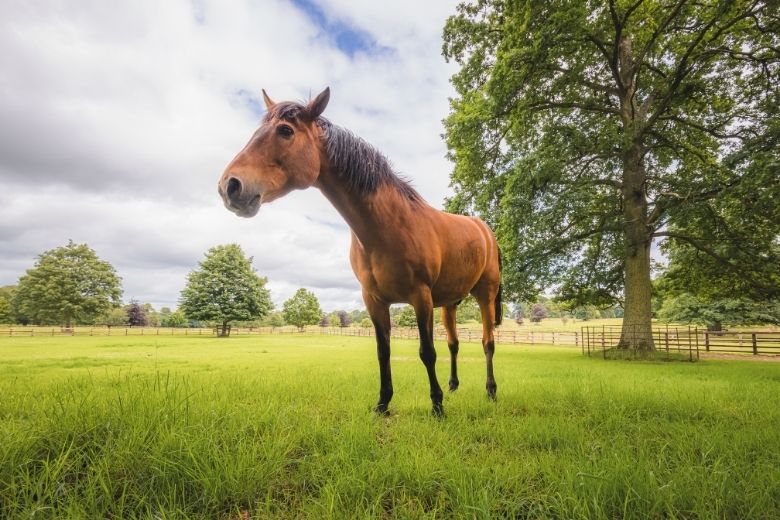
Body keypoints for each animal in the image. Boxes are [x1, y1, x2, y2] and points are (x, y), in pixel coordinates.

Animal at [216, 88, 502, 414]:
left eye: (285, 131)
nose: (230, 186)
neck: (388, 226)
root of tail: (484, 229)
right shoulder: (374, 300)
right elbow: (383, 352)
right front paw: (383, 403)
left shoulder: (421, 298)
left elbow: (427, 352)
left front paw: (437, 406)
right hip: (450, 304)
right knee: (454, 343)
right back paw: (454, 386)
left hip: (484, 295)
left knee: (487, 342)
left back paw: (491, 391)